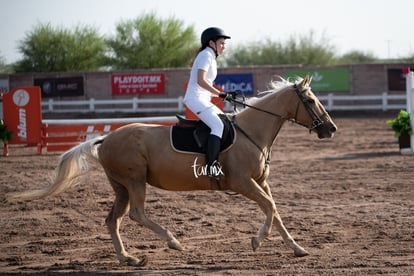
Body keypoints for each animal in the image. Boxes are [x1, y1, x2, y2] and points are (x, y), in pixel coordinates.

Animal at [6, 75, 336, 266]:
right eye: (310, 100)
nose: (330, 129)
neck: (251, 132)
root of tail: (106, 138)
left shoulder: (260, 182)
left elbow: (275, 210)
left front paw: (297, 248)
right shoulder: (243, 183)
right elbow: (269, 207)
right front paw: (257, 241)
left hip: (120, 186)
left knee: (114, 219)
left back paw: (128, 258)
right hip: (135, 181)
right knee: (137, 214)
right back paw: (173, 242)